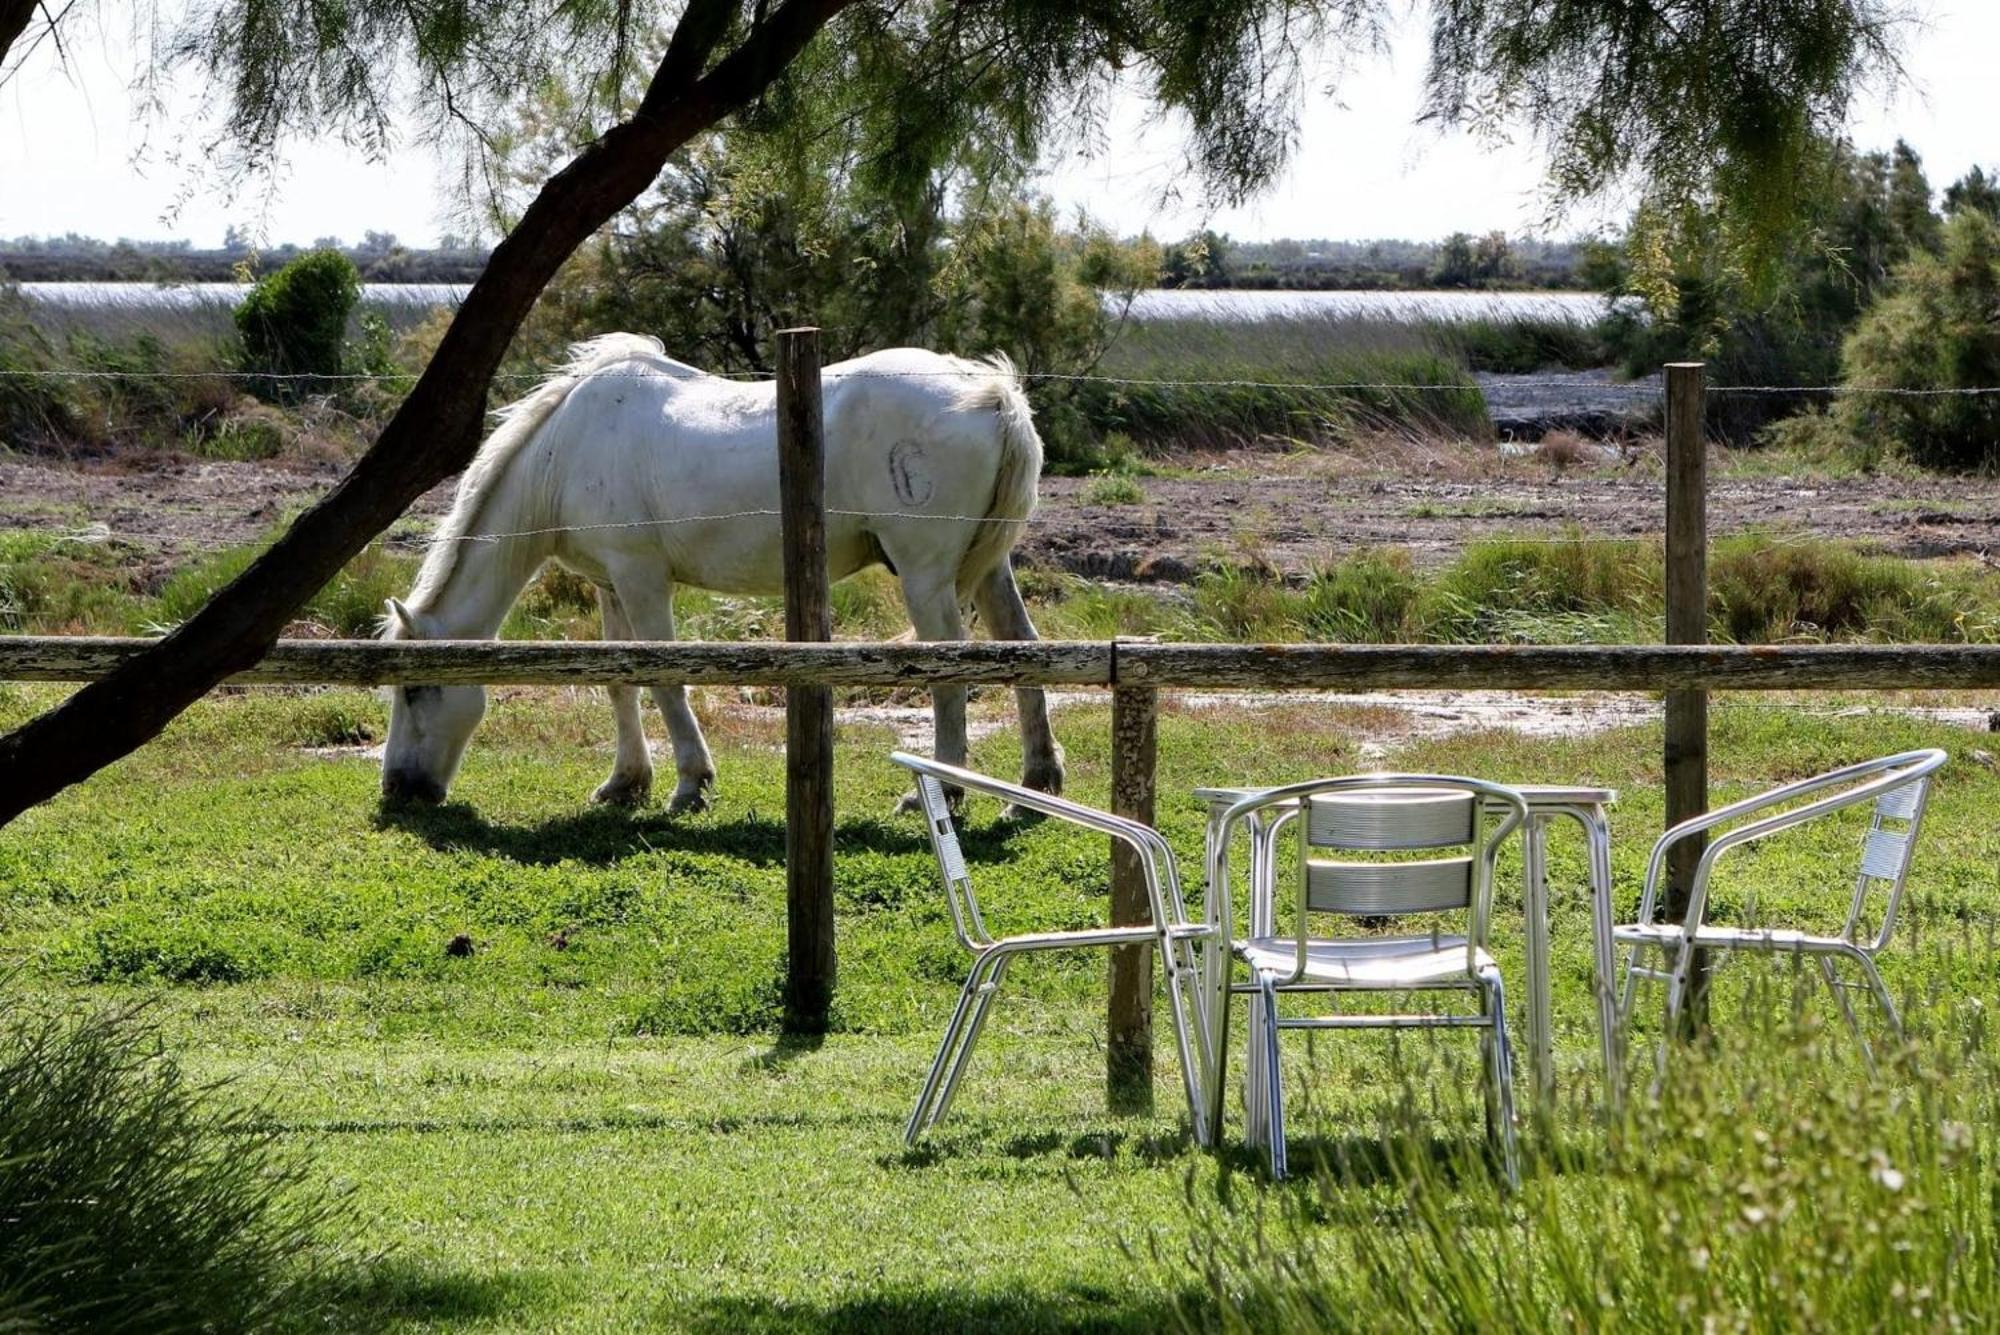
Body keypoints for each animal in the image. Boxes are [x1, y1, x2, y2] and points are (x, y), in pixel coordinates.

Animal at [376, 333, 1064, 815]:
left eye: (415, 690)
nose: (398, 789)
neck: (565, 451)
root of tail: (992, 392)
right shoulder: (611, 585)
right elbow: (619, 682)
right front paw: (625, 782)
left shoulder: (642, 579)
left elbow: (664, 680)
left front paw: (690, 784)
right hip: (987, 568)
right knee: (1021, 649)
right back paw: (1036, 782)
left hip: (925, 575)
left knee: (951, 673)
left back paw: (945, 792)